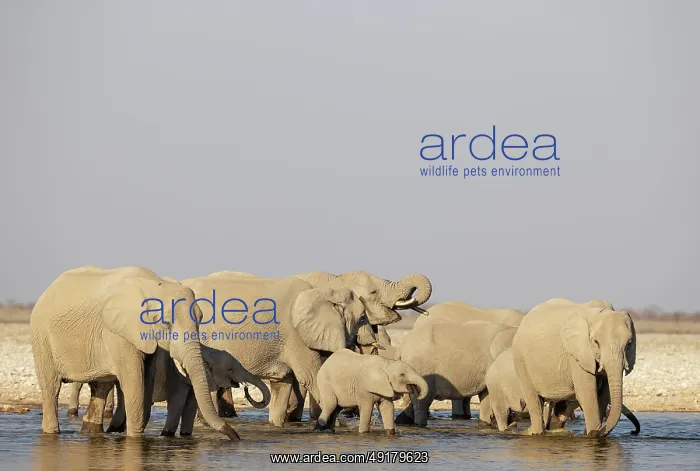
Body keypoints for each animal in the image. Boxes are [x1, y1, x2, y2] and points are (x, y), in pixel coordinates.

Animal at [29, 266, 239, 440]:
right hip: (42, 338)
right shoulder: (118, 333)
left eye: (200, 320)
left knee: (101, 387)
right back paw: (52, 433)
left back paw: (91, 432)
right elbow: (134, 382)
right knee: (51, 388)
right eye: (167, 324)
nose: (235, 437)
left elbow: (147, 380)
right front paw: (135, 440)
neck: (155, 284)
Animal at [181, 273, 378, 427]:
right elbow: (312, 377)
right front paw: (333, 427)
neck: (322, 292)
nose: (371, 339)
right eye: (362, 317)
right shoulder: (296, 336)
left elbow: (283, 384)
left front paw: (276, 425)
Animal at [511, 298, 636, 437]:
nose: (633, 431)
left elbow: (603, 395)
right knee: (535, 403)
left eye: (629, 343)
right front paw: (592, 434)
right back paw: (538, 433)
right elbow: (587, 394)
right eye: (596, 342)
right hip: (521, 360)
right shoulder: (577, 354)